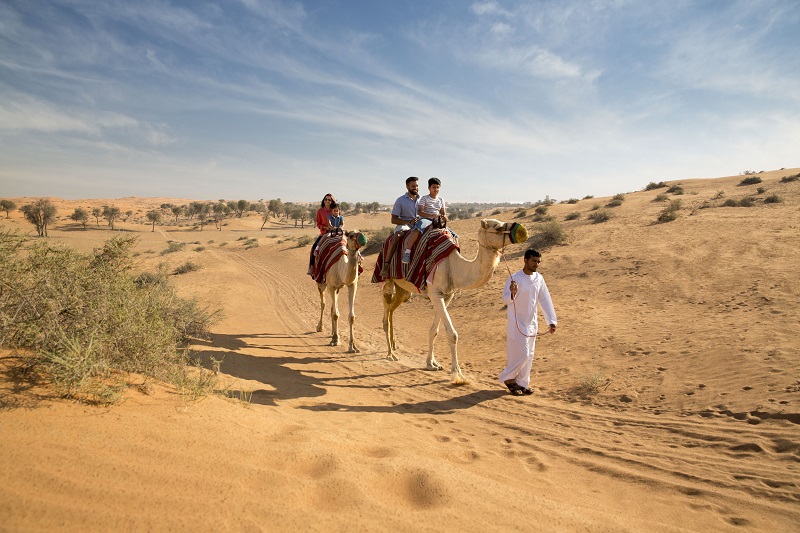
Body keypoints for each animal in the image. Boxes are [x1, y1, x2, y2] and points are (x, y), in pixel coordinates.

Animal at [380, 218, 524, 384]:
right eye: (498, 227)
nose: (521, 230)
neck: (454, 266)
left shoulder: (447, 295)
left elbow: (434, 330)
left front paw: (432, 364)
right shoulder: (435, 293)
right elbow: (452, 334)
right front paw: (457, 373)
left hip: (404, 290)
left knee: (392, 308)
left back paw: (394, 347)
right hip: (388, 280)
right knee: (386, 305)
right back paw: (390, 354)